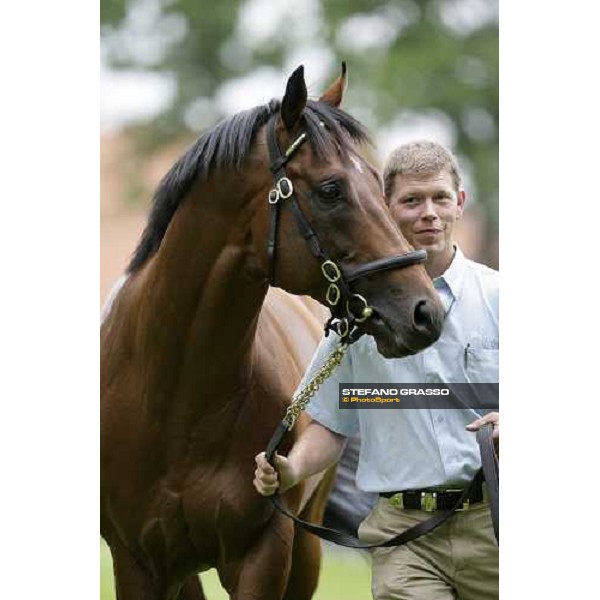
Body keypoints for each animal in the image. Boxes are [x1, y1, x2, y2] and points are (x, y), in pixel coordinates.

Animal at [99, 65, 446, 600]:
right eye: (331, 190)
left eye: (377, 182)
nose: (425, 312)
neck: (178, 399)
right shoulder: (138, 563)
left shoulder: (265, 554)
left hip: (306, 552)